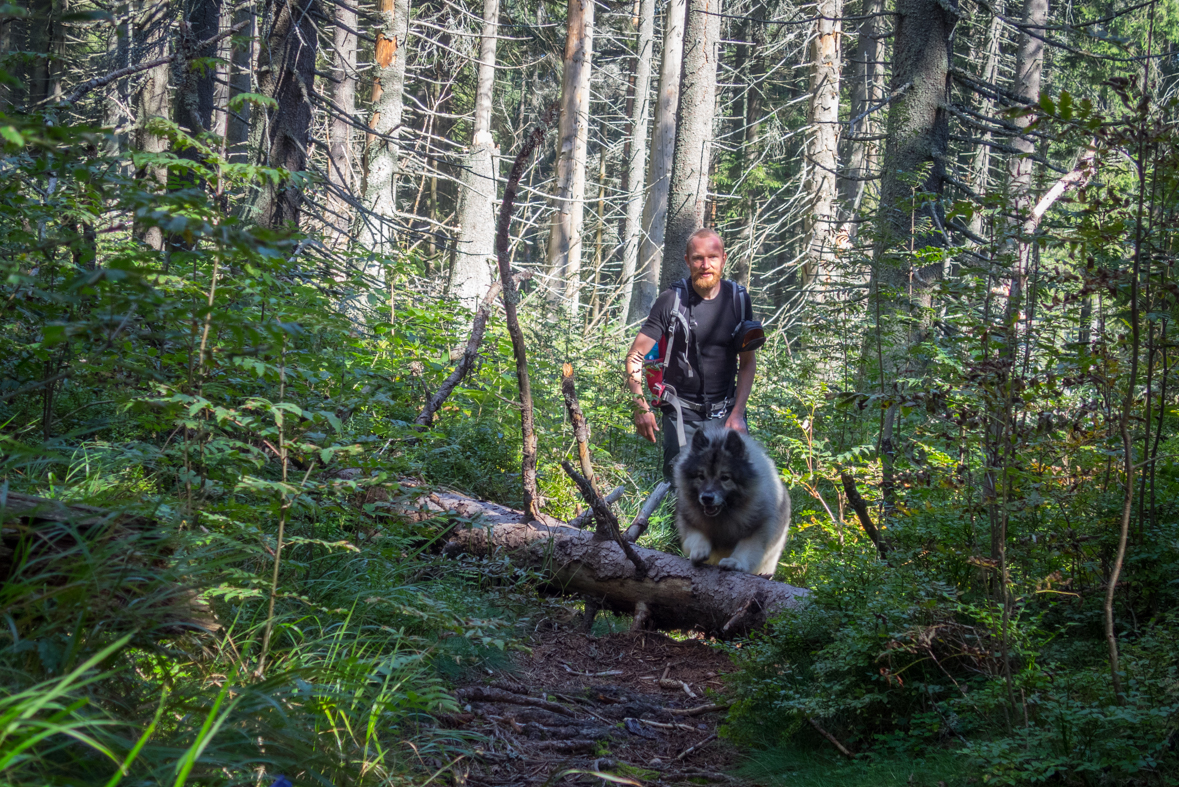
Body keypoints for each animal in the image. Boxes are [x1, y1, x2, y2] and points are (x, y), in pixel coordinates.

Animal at [674, 424, 792, 577]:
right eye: (701, 476)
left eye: (725, 478)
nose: (707, 498)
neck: (725, 513)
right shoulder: (689, 522)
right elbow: (697, 536)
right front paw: (699, 550)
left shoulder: (757, 529)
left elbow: (746, 549)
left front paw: (735, 562)